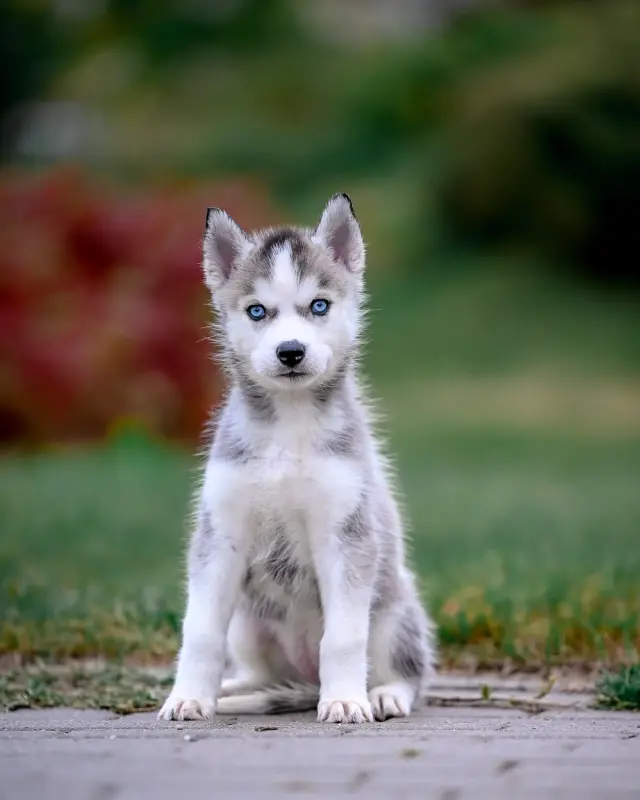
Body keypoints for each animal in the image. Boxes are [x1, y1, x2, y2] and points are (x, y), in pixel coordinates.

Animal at [159, 195, 436, 724]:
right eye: (257, 311)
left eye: (319, 306)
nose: (290, 351)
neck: (288, 426)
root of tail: (305, 682)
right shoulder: (220, 536)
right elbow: (199, 633)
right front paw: (188, 697)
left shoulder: (346, 536)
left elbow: (344, 638)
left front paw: (345, 700)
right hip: (247, 625)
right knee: (262, 675)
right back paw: (233, 689)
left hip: (393, 612)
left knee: (408, 671)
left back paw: (382, 694)